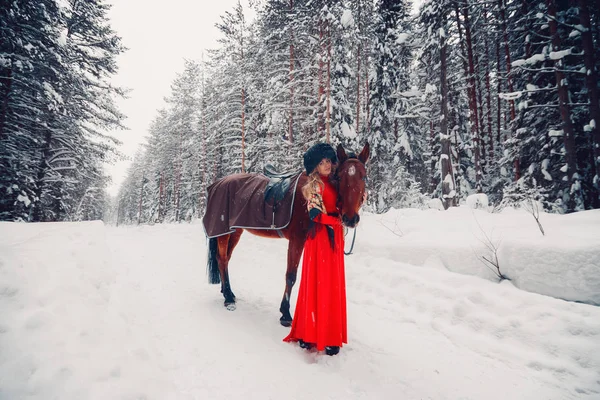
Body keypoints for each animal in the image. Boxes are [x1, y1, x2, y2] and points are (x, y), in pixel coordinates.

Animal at [206, 142, 370, 326]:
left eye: (364, 177)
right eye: (340, 177)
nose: (350, 219)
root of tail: (217, 183)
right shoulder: (297, 239)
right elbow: (291, 275)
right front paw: (285, 313)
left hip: (235, 231)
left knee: (226, 259)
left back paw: (227, 292)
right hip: (223, 232)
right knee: (222, 259)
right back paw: (228, 298)